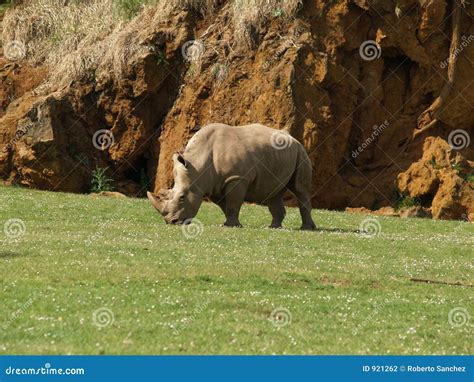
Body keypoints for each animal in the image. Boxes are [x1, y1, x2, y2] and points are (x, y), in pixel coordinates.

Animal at [147, 123, 318, 230]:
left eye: (182, 197)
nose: (171, 221)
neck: (198, 166)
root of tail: (293, 138)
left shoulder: (237, 178)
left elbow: (233, 203)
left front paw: (231, 225)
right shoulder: (214, 184)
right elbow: (225, 205)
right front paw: (229, 223)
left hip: (300, 151)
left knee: (300, 189)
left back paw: (307, 228)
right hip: (281, 156)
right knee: (273, 193)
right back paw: (274, 227)